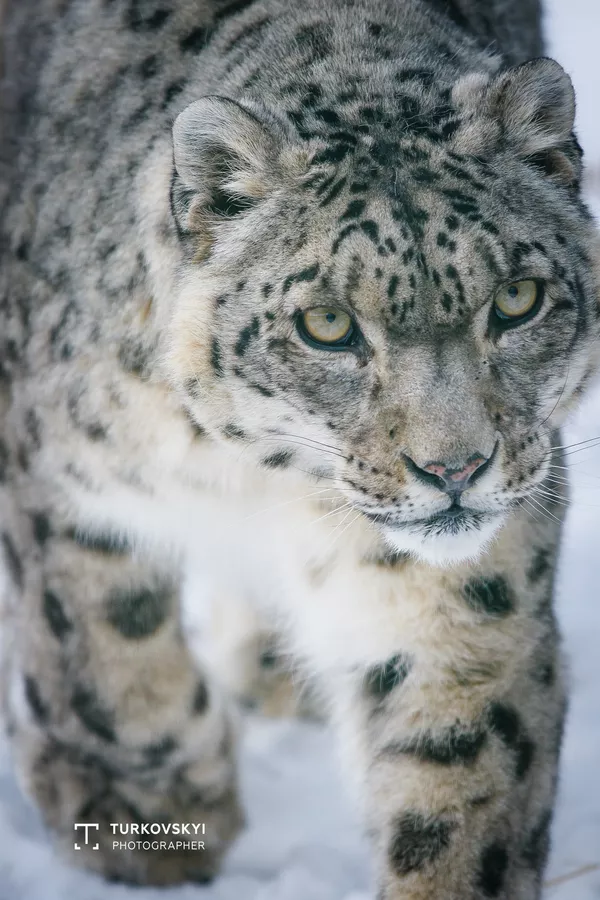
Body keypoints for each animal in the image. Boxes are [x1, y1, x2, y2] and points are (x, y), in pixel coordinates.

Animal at [1, 0, 599, 896]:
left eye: (518, 299)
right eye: (326, 324)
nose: (455, 469)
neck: (259, 482)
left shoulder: (469, 592)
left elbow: (458, 781)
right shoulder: (58, 469)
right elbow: (102, 641)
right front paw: (146, 818)